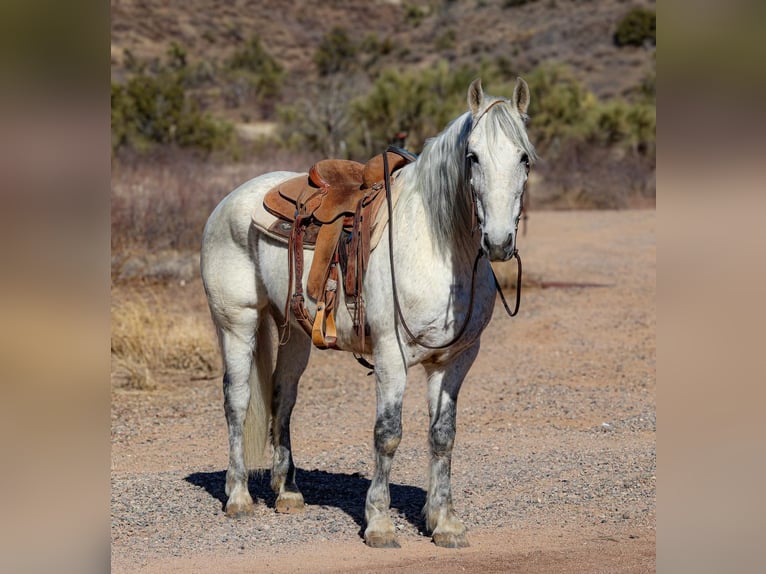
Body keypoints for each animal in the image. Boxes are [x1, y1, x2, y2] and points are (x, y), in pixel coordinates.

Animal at [200, 78, 536, 548]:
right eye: (472, 156)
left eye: (524, 157)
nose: (500, 241)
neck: (437, 247)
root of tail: (228, 201)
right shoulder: (391, 354)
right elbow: (388, 433)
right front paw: (379, 523)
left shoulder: (455, 359)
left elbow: (443, 436)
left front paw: (444, 522)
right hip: (238, 323)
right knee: (237, 400)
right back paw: (238, 496)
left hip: (295, 331)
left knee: (283, 398)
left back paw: (288, 492)